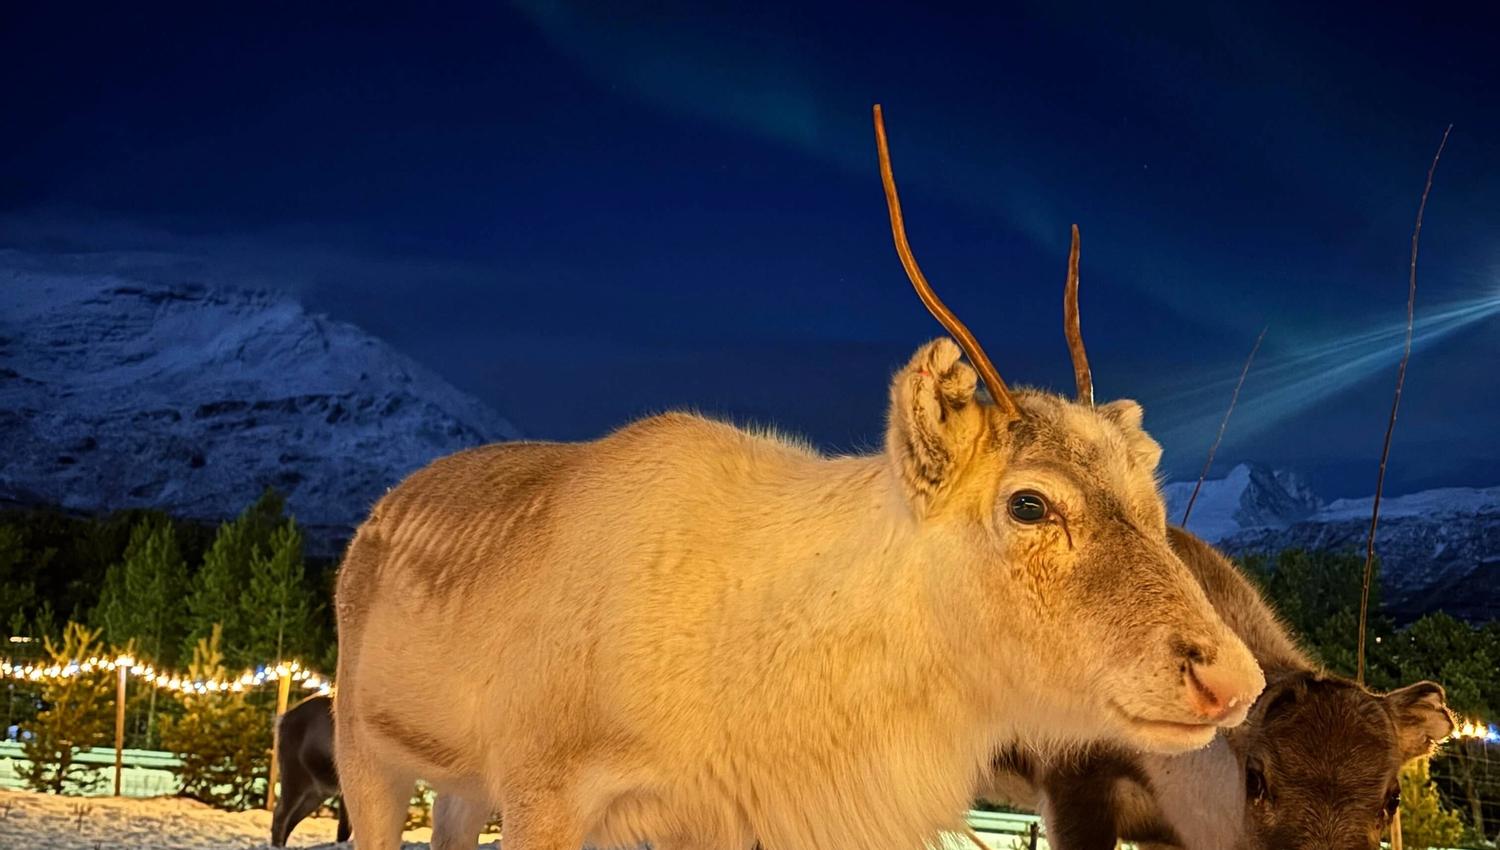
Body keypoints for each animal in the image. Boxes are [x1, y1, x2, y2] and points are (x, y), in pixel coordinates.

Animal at [332, 104, 1266, 850]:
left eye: (1153, 505)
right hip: (365, 751)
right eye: (1029, 503)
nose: (1232, 678)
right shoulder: (543, 792)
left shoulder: (706, 823)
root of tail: (375, 519)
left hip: (459, 789)